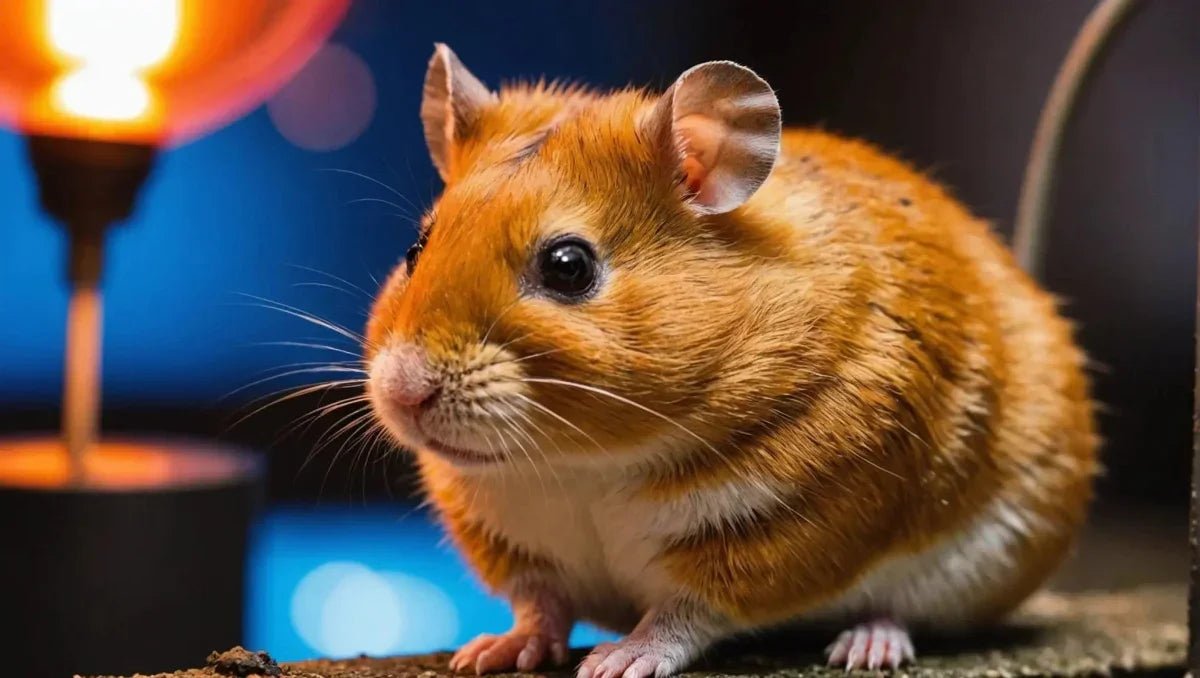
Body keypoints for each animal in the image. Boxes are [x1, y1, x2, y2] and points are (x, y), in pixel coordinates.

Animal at [365, 44, 1097, 676]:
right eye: (415, 250)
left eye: (568, 266)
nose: (403, 393)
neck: (581, 466)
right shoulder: (511, 539)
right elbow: (540, 603)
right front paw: (490, 652)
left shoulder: (769, 532)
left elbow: (684, 613)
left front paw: (616, 662)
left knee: (902, 613)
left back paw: (868, 645)